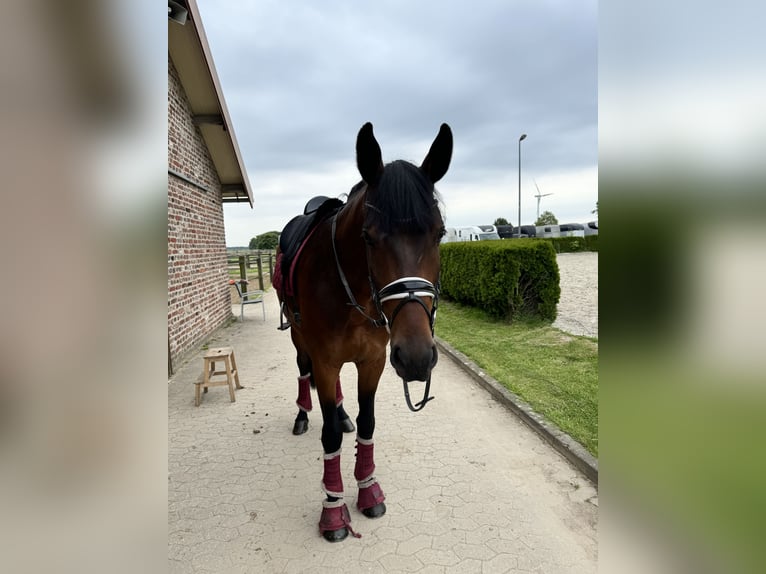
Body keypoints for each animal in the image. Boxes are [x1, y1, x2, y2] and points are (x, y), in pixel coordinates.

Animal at [275, 122, 452, 542]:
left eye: (439, 233)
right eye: (369, 237)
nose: (417, 356)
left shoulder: (372, 361)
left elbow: (368, 425)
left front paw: (368, 490)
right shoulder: (324, 360)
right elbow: (330, 438)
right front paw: (333, 508)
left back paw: (340, 412)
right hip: (299, 339)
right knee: (303, 371)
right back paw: (304, 415)